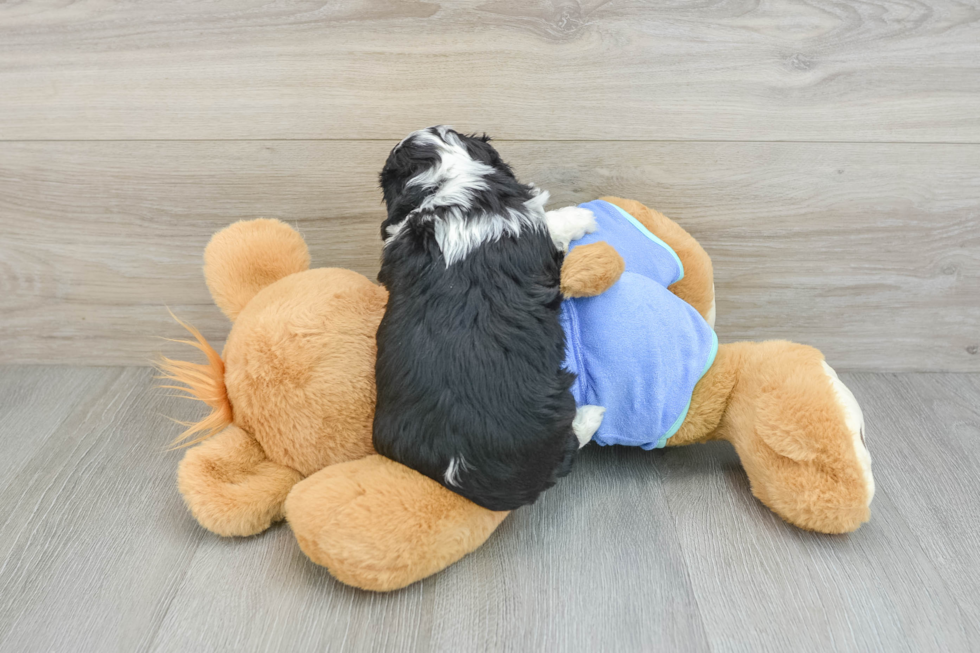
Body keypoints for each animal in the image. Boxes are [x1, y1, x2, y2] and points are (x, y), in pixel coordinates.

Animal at [374, 127, 596, 512]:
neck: (446, 181)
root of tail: (458, 472)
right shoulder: (534, 226)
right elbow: (554, 221)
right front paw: (583, 218)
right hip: (556, 408)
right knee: (568, 446)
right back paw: (594, 414)